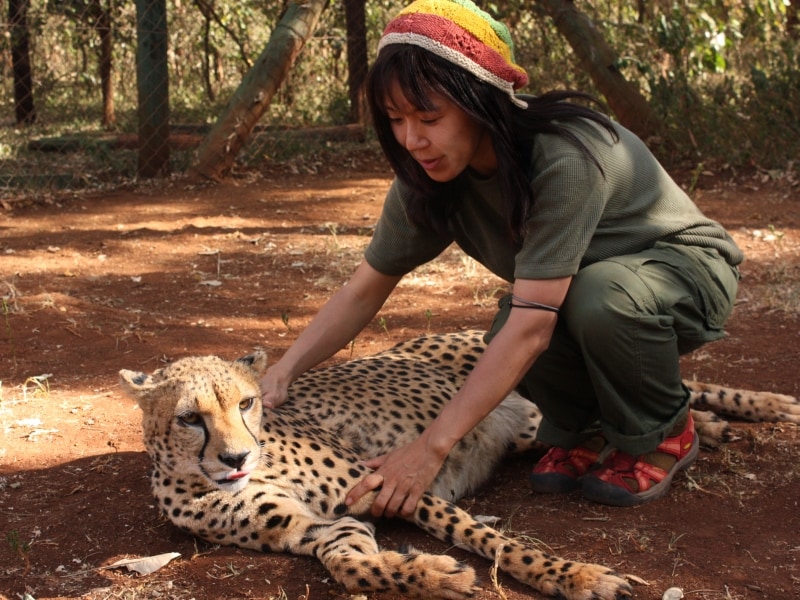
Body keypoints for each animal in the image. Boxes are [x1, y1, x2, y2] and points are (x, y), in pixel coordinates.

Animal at [119, 330, 799, 600]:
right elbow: (351, 566)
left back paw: (768, 405)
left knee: (680, 385)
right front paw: (430, 575)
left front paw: (574, 576)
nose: (237, 455)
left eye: (246, 402)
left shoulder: (398, 483)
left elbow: (497, 542)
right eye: (190, 417)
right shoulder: (322, 527)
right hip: (531, 428)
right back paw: (706, 431)